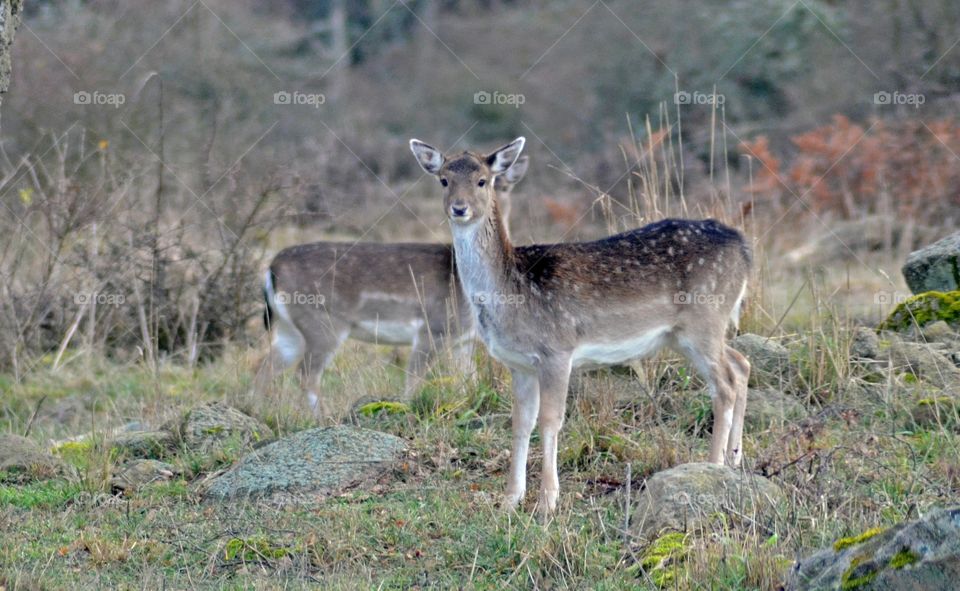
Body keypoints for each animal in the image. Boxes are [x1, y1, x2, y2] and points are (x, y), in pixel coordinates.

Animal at [255, 157, 528, 416]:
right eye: (445, 181)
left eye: (498, 183)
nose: (462, 208)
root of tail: (272, 268)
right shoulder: (433, 328)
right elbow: (413, 381)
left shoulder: (464, 339)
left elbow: (465, 380)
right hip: (322, 323)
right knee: (305, 374)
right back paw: (321, 418)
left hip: (290, 328)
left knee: (265, 368)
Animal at [406, 138, 752, 512]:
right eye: (443, 180)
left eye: (483, 180)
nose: (459, 208)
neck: (511, 291)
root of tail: (745, 249)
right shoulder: (519, 364)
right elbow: (520, 423)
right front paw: (510, 500)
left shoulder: (557, 349)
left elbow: (550, 420)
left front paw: (547, 503)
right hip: (691, 333)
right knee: (741, 363)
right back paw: (734, 458)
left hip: (704, 319)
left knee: (725, 383)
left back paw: (713, 465)